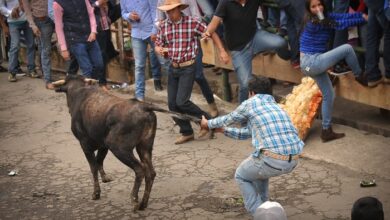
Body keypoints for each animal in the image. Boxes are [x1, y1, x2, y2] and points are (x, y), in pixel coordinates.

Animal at [54, 75, 204, 211]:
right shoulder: (103, 145)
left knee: (139, 169)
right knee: (150, 172)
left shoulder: (85, 144)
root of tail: (145, 106)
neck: (79, 93)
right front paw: (105, 178)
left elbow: (93, 167)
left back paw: (134, 200)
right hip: (144, 146)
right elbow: (99, 161)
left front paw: (96, 193)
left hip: (119, 147)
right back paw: (143, 204)